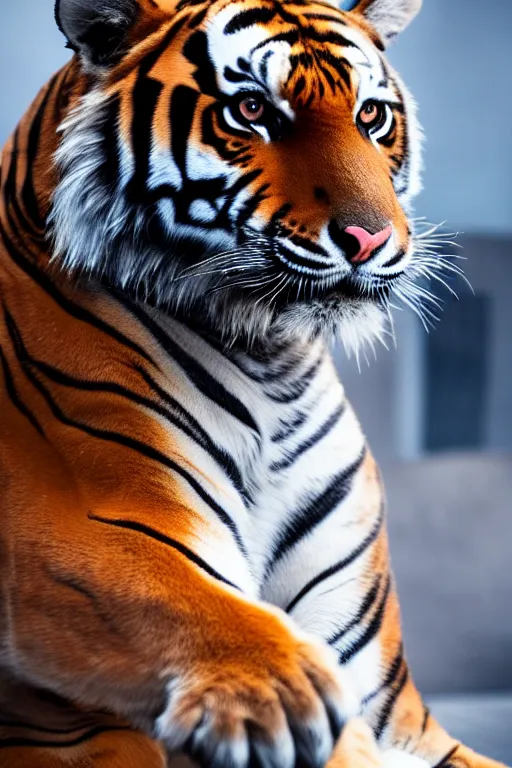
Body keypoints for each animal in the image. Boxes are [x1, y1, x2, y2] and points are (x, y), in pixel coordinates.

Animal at [0, 0, 504, 764]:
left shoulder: (405, 721)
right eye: (251, 110)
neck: (275, 363)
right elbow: (166, 594)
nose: (371, 240)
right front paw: (278, 697)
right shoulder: (82, 525)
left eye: (371, 115)